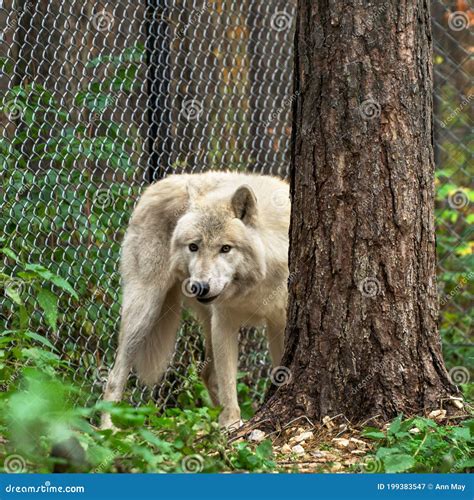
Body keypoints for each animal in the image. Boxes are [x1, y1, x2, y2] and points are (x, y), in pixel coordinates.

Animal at [102, 170, 290, 428]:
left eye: (225, 248)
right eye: (194, 247)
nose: (199, 287)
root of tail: (156, 184)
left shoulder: (278, 323)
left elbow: (279, 370)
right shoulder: (224, 321)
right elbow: (229, 384)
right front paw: (231, 425)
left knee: (207, 373)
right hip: (144, 310)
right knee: (114, 376)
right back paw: (106, 429)